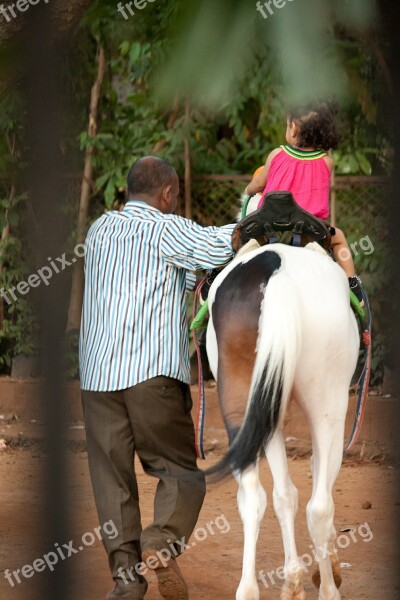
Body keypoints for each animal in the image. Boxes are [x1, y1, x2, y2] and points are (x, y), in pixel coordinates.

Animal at [206, 216, 360, 600]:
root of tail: (278, 275)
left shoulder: (267, 408)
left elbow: (284, 495)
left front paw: (293, 582)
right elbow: (318, 482)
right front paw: (325, 570)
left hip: (242, 399)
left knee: (253, 496)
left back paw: (248, 589)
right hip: (328, 404)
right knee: (319, 506)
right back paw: (329, 591)